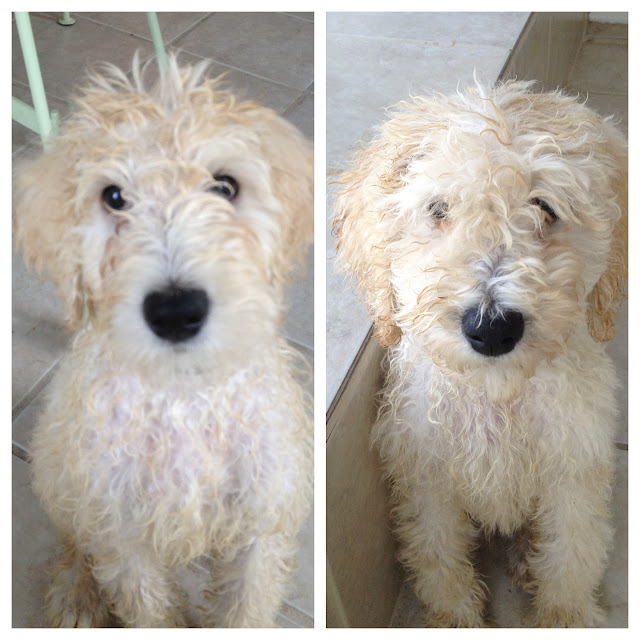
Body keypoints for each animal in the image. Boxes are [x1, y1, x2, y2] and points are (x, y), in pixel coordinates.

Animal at [14, 54, 313, 627]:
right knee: (72, 541)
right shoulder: (123, 535)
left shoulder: (260, 527)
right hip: (61, 478)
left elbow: (245, 606)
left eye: (225, 186)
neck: (184, 400)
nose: (176, 311)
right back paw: (77, 596)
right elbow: (147, 606)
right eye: (113, 197)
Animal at [333, 79, 627, 627]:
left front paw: (563, 615)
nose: (491, 330)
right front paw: (457, 616)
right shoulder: (426, 477)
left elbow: (571, 554)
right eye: (438, 209)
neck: (497, 399)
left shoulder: (574, 471)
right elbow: (437, 555)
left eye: (544, 206)